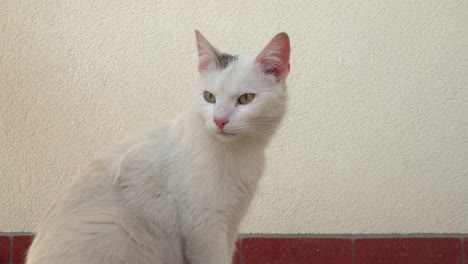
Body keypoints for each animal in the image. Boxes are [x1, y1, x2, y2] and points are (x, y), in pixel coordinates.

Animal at [25, 31, 290, 264]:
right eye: (209, 97)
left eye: (245, 99)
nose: (220, 120)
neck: (240, 152)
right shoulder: (205, 226)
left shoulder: (231, 223)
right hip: (116, 227)